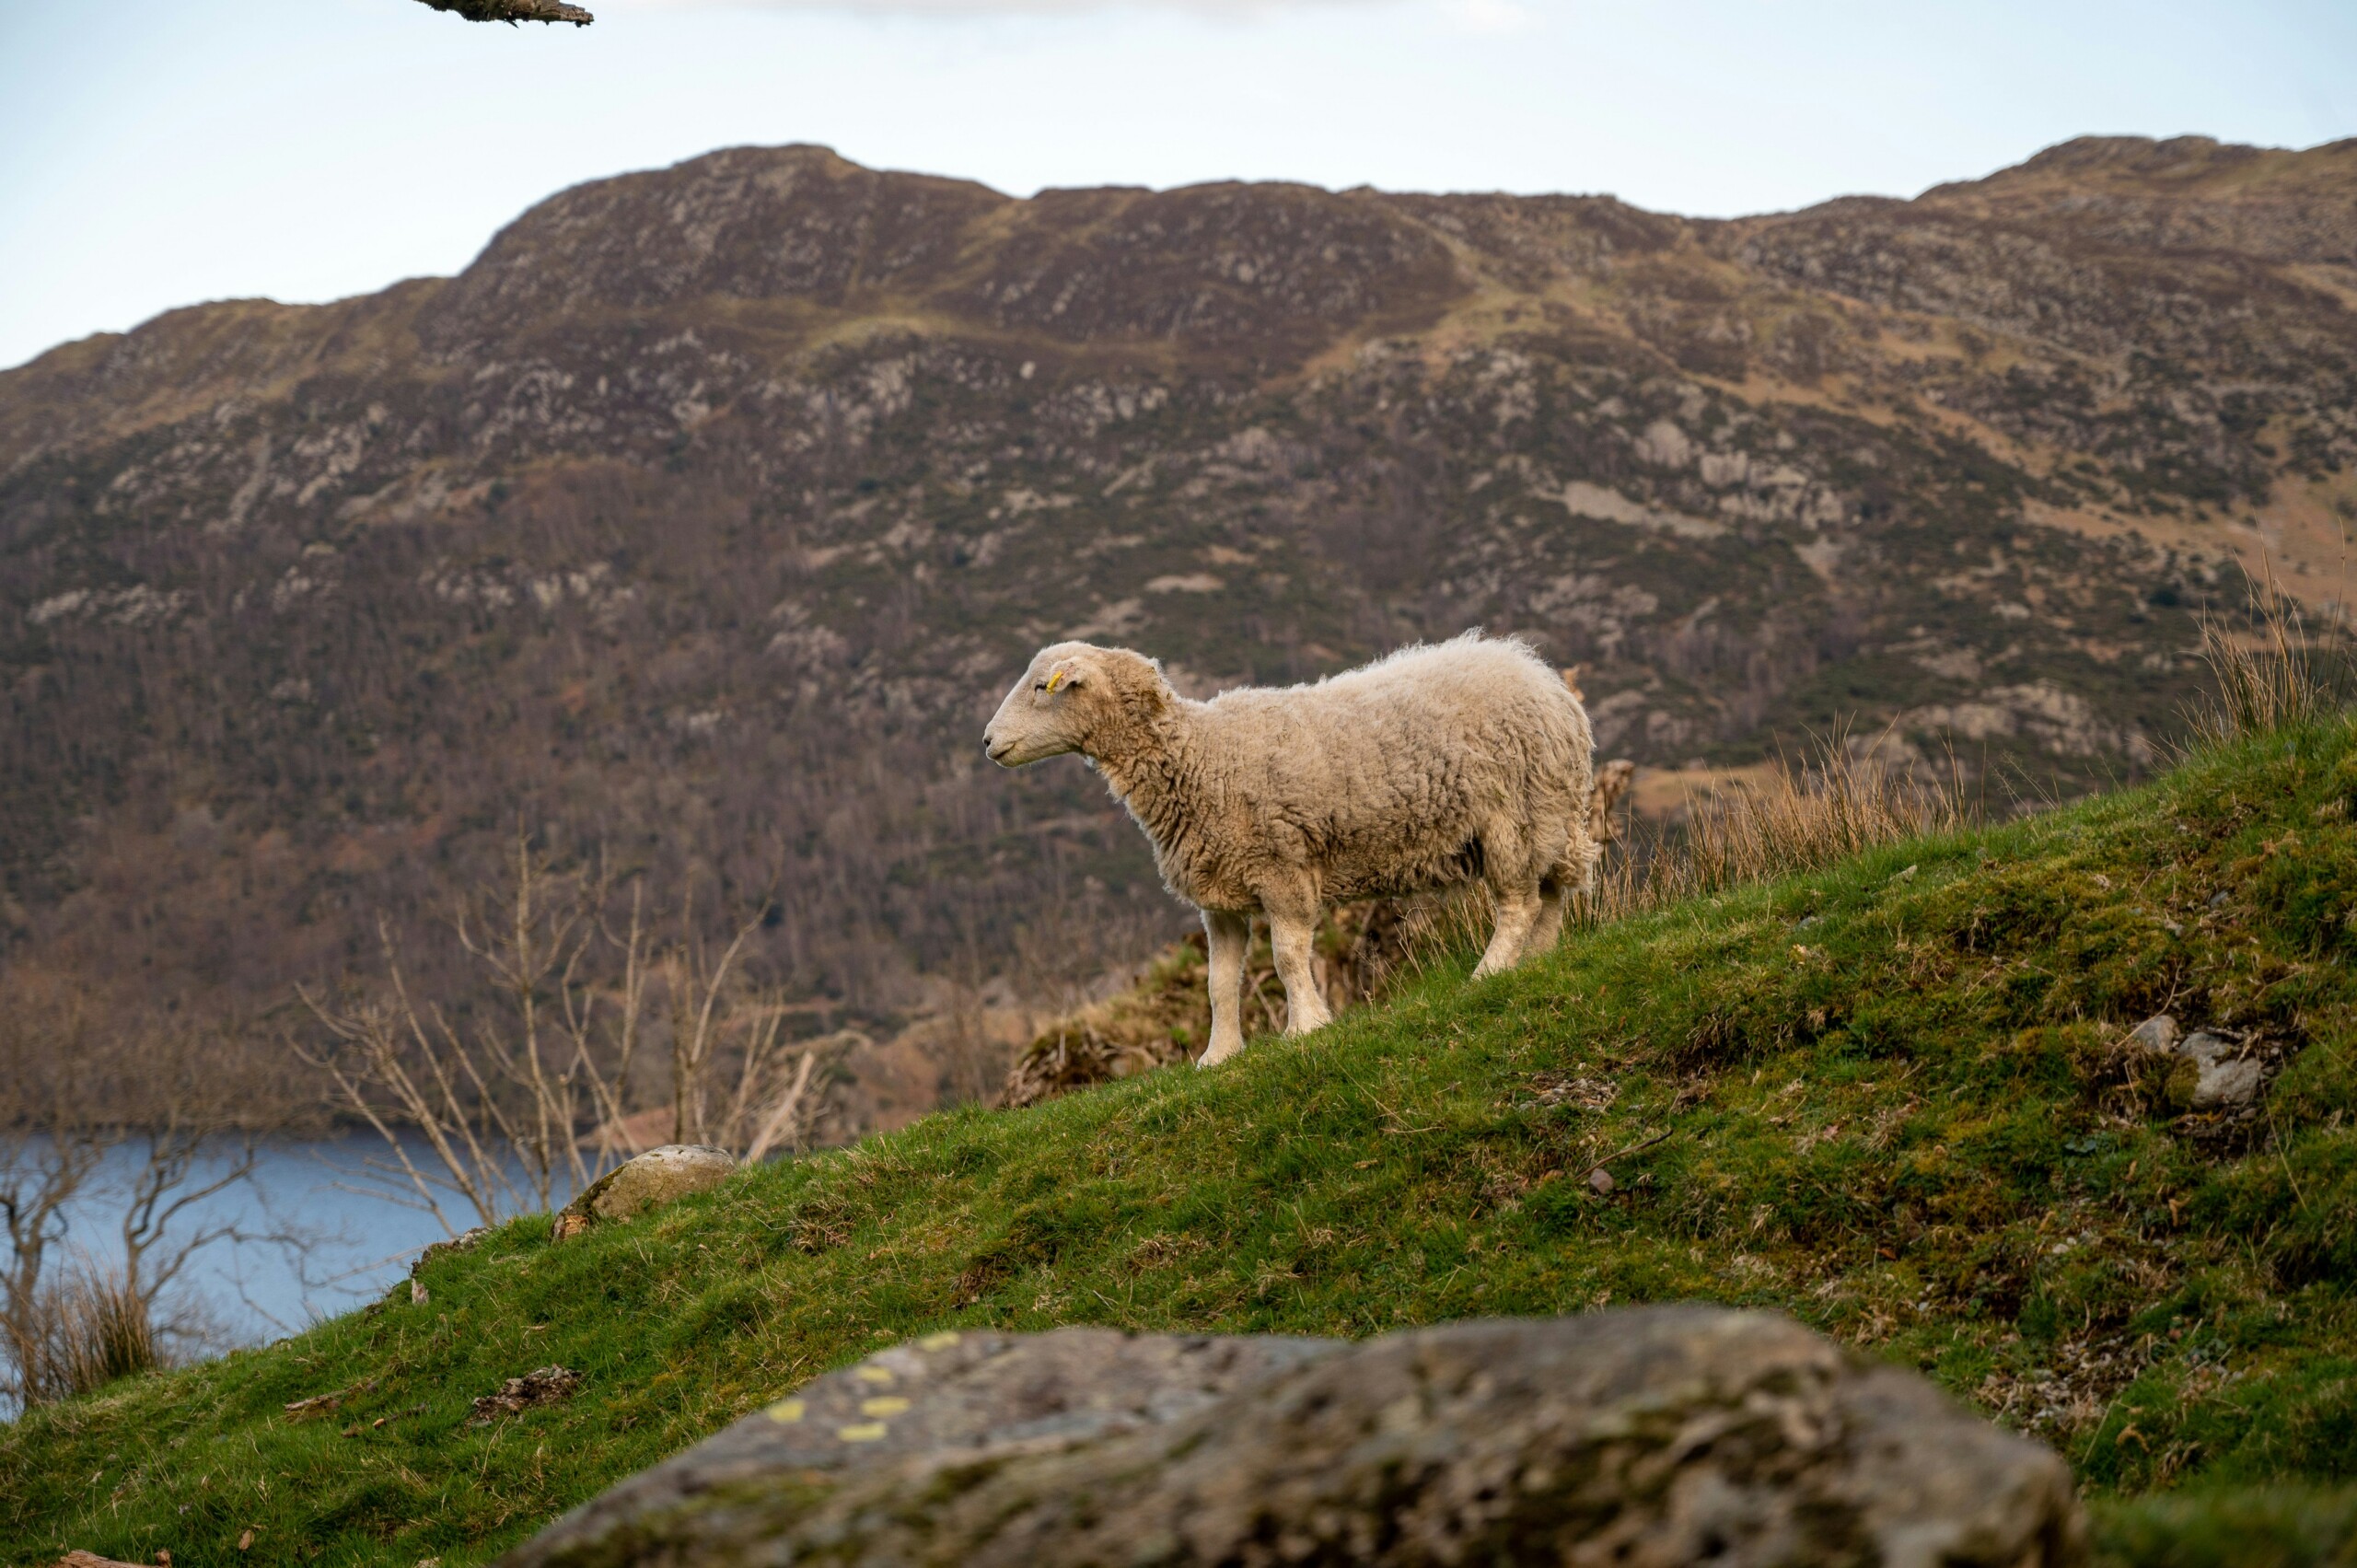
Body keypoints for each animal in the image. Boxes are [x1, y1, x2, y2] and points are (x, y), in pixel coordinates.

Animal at [983, 632, 1598, 1067]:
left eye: (1040, 687)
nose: (988, 741)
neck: (1203, 757)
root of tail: (1543, 678)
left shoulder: (1283, 870)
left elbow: (1286, 957)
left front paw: (1306, 1026)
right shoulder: (1220, 895)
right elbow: (1219, 983)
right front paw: (1218, 1056)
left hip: (1513, 815)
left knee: (1518, 902)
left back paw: (1490, 971)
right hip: (1546, 815)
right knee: (1552, 894)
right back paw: (1537, 960)